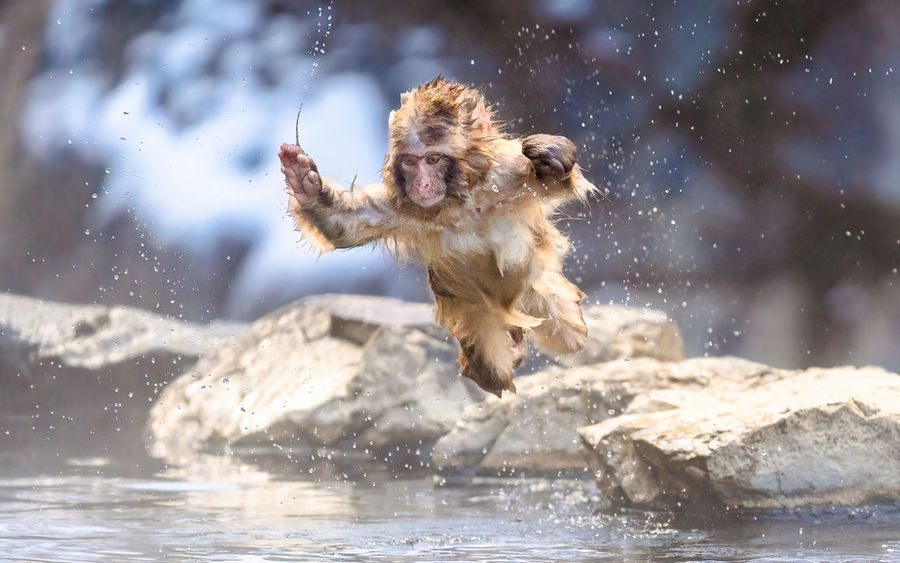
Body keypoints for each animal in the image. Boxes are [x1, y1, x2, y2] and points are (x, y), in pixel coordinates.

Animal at [278, 77, 597, 397]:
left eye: (432, 159)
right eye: (409, 162)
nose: (421, 184)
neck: (462, 203)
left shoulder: (511, 176)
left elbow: (555, 181)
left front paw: (552, 152)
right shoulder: (401, 206)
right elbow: (344, 225)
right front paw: (303, 181)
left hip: (536, 288)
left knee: (570, 336)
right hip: (478, 318)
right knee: (491, 370)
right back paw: (513, 350)